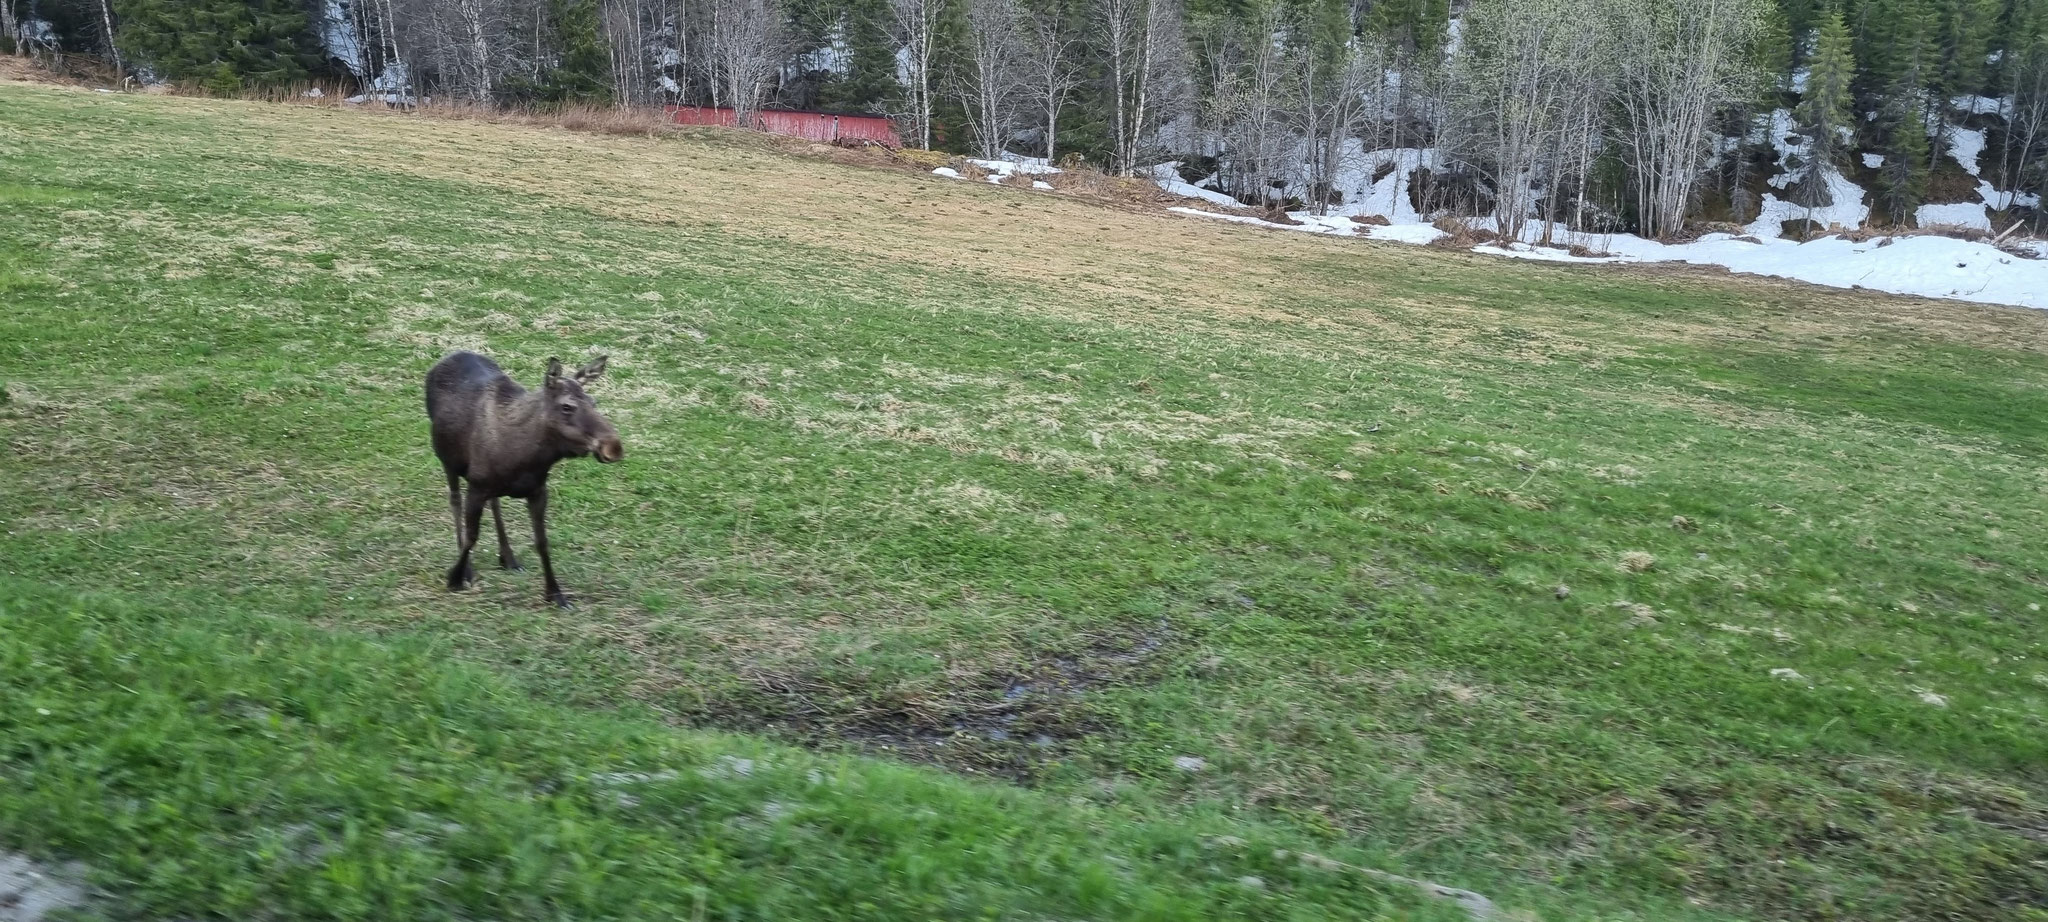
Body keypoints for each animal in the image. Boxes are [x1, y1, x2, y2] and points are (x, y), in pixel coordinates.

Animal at [425, 350, 618, 606]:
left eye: (594, 402)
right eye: (567, 406)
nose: (613, 446)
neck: (525, 459)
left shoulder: (538, 491)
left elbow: (542, 542)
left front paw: (555, 593)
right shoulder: (476, 486)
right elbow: (471, 537)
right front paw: (457, 576)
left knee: (495, 503)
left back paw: (508, 557)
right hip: (448, 461)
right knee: (455, 502)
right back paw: (470, 566)